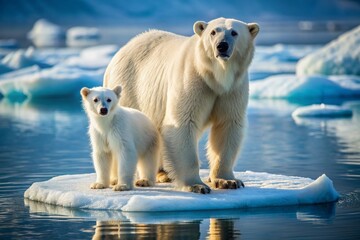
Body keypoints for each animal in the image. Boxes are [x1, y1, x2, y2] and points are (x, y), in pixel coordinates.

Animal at [104, 17, 258, 193]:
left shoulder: (233, 89)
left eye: (234, 32)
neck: (215, 77)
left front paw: (228, 181)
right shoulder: (193, 79)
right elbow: (183, 122)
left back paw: (163, 173)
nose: (222, 45)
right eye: (213, 32)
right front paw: (197, 185)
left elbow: (227, 125)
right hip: (129, 87)